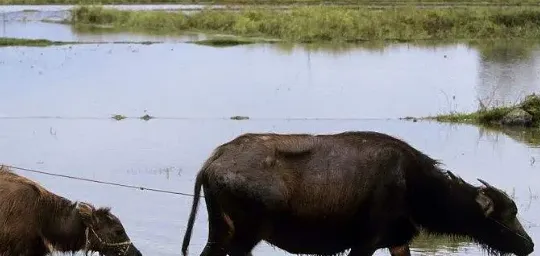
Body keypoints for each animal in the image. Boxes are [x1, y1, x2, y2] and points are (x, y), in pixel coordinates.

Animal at [182, 131, 536, 256]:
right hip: (244, 237)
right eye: (509, 214)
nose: (529, 245)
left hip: (221, 233)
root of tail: (214, 160)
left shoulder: (397, 241)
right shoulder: (365, 243)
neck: (413, 184)